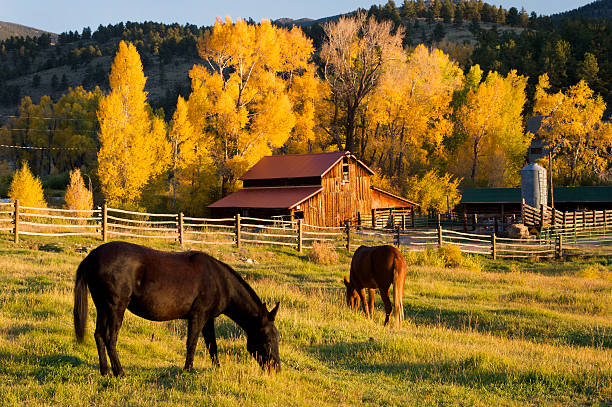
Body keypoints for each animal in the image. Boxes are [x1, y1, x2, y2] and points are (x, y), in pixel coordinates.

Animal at [74, 241, 282, 378]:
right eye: (267, 339)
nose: (277, 369)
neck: (219, 281)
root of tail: (92, 256)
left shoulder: (208, 319)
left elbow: (212, 345)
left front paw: (217, 368)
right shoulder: (198, 316)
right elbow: (192, 343)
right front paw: (187, 370)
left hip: (102, 307)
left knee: (99, 335)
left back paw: (105, 371)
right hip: (116, 308)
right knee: (110, 338)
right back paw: (120, 372)